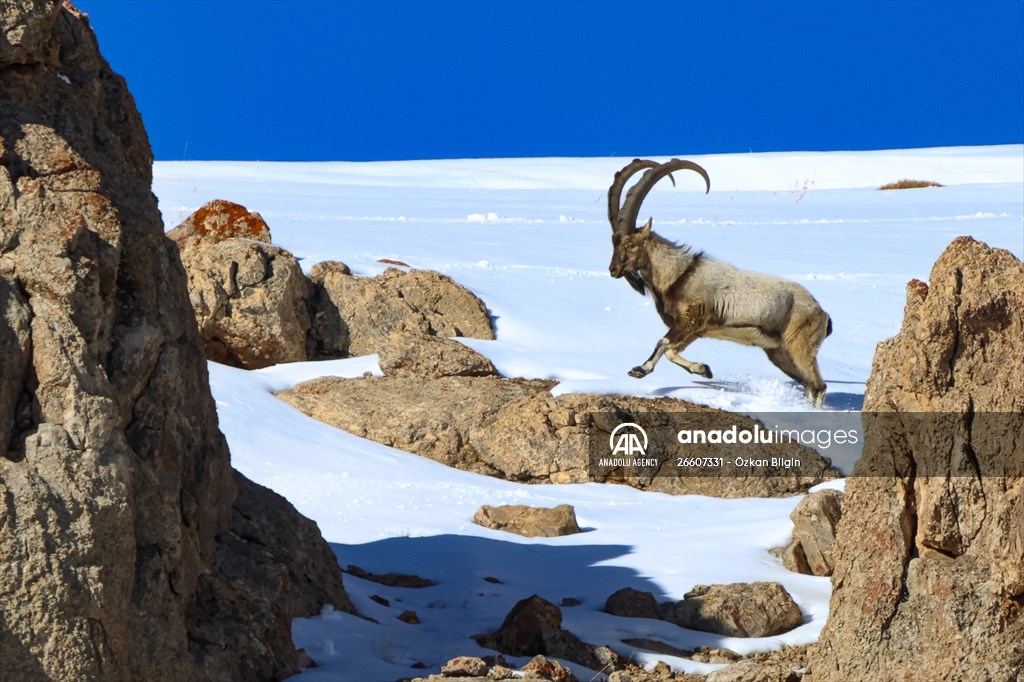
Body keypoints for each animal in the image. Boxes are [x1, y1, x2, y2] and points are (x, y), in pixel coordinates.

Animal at [607, 159, 833, 408]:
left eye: (630, 244)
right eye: (614, 242)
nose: (613, 270)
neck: (679, 275)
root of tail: (821, 312)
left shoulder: (690, 321)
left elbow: (663, 343)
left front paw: (639, 369)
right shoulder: (694, 331)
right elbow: (671, 351)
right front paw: (704, 369)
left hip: (800, 348)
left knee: (819, 387)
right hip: (779, 353)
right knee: (810, 386)